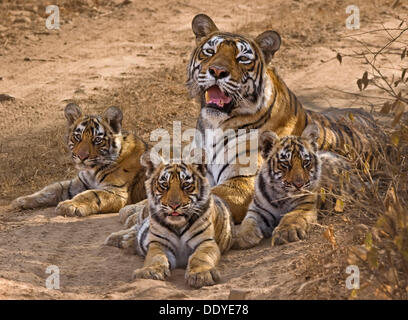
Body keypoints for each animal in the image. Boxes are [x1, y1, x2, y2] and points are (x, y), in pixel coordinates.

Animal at [10, 104, 148, 216]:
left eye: (97, 140)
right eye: (77, 137)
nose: (81, 157)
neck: (92, 170)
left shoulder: (117, 191)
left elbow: (91, 194)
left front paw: (68, 205)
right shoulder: (77, 183)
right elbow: (51, 189)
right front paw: (20, 201)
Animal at [105, 151, 233, 288]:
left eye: (186, 185)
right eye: (164, 185)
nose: (174, 205)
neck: (178, 225)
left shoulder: (206, 242)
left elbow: (200, 257)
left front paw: (201, 275)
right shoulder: (159, 243)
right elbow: (156, 257)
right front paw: (150, 271)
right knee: (136, 227)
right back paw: (118, 238)